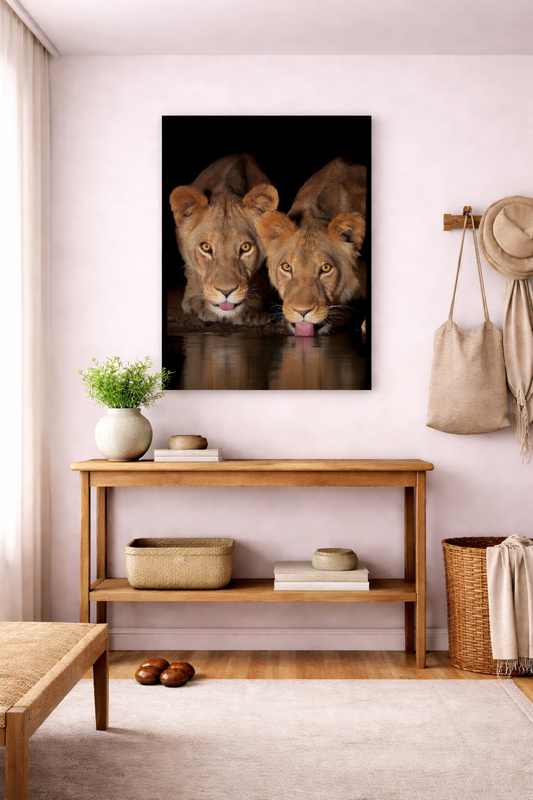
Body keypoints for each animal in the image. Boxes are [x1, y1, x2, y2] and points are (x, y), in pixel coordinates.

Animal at [169, 153, 279, 326]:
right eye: (206, 247)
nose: (226, 291)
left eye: (246, 247)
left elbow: (260, 277)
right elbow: (192, 269)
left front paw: (254, 311)